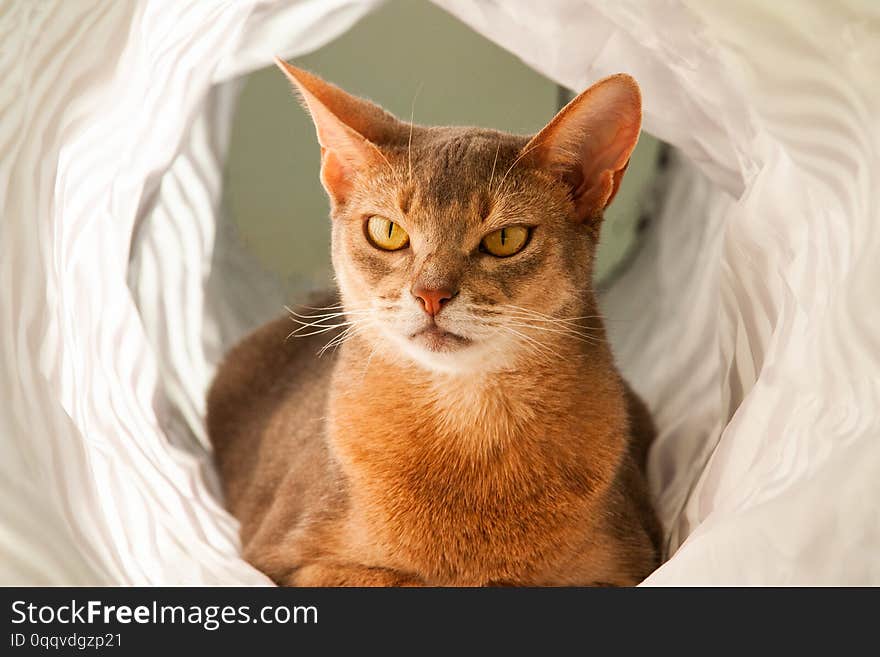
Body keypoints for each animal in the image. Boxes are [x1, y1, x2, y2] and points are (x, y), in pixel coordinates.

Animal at [206, 59, 660, 588]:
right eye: (387, 232)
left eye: (506, 239)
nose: (431, 295)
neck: (465, 423)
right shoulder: (284, 559)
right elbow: (396, 578)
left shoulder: (632, 564)